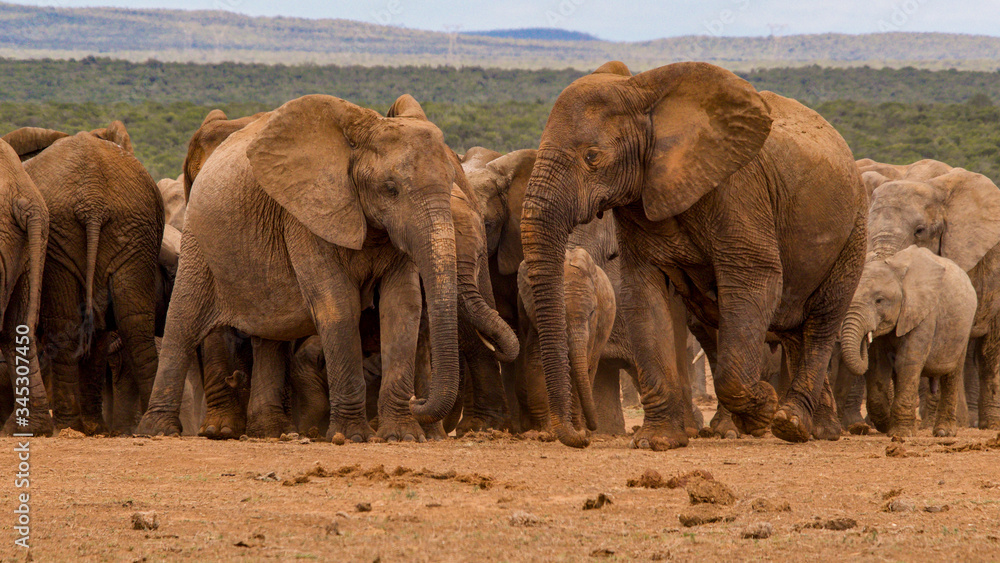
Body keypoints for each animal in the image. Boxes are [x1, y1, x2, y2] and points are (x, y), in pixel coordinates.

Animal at [4, 122, 164, 435]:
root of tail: (93, 202)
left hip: (68, 232)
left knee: (64, 324)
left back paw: (69, 424)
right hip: (134, 229)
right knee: (135, 323)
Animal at [138, 94, 463, 442]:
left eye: (451, 183)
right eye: (390, 188)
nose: (419, 400)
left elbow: (403, 306)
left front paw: (401, 436)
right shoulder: (306, 216)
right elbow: (338, 305)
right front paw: (352, 437)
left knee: (270, 331)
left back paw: (269, 432)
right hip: (199, 237)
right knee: (183, 320)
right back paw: (162, 430)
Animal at [519, 61, 868, 448]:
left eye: (592, 157)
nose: (581, 437)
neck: (642, 93)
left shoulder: (739, 190)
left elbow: (755, 279)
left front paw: (761, 411)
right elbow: (644, 293)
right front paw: (656, 441)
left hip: (853, 230)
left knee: (821, 321)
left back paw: (791, 423)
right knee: (794, 327)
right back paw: (815, 429)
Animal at [840, 246, 977, 437]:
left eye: (879, 300)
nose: (865, 340)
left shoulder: (924, 314)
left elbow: (907, 362)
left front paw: (901, 434)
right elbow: (877, 365)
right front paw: (891, 426)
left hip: (964, 327)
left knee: (951, 375)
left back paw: (944, 432)